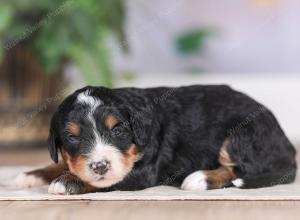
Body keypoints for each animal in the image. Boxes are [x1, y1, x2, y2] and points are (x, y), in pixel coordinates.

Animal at [14, 85, 298, 194]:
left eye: (118, 130)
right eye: (72, 137)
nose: (100, 165)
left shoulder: (143, 172)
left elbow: (104, 182)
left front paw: (67, 182)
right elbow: (64, 163)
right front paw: (32, 175)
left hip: (241, 134)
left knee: (239, 169)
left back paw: (199, 178)